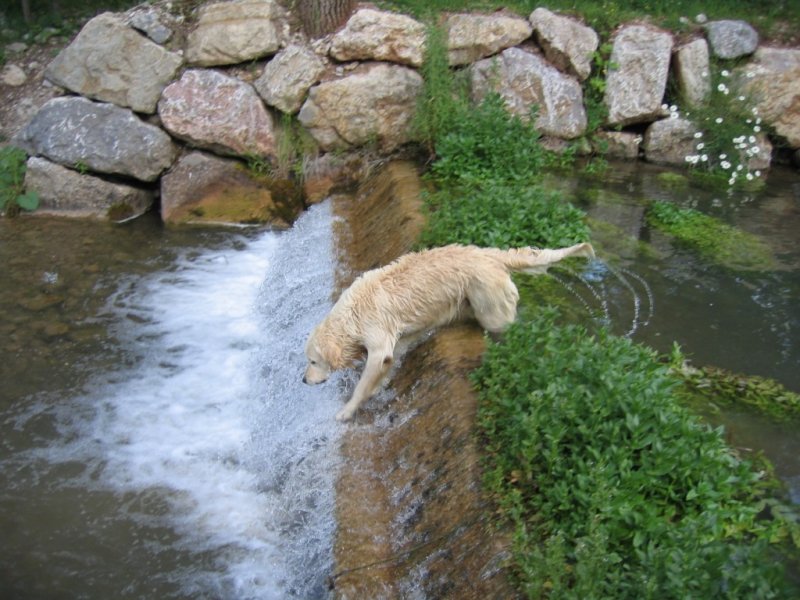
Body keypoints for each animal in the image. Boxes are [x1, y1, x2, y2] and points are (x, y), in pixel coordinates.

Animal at [304, 241, 592, 420]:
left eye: (313, 361)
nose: (304, 381)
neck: (352, 315)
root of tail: (491, 255)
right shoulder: (398, 337)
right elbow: (392, 358)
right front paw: (379, 385)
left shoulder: (376, 334)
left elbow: (369, 374)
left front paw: (347, 411)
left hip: (488, 301)